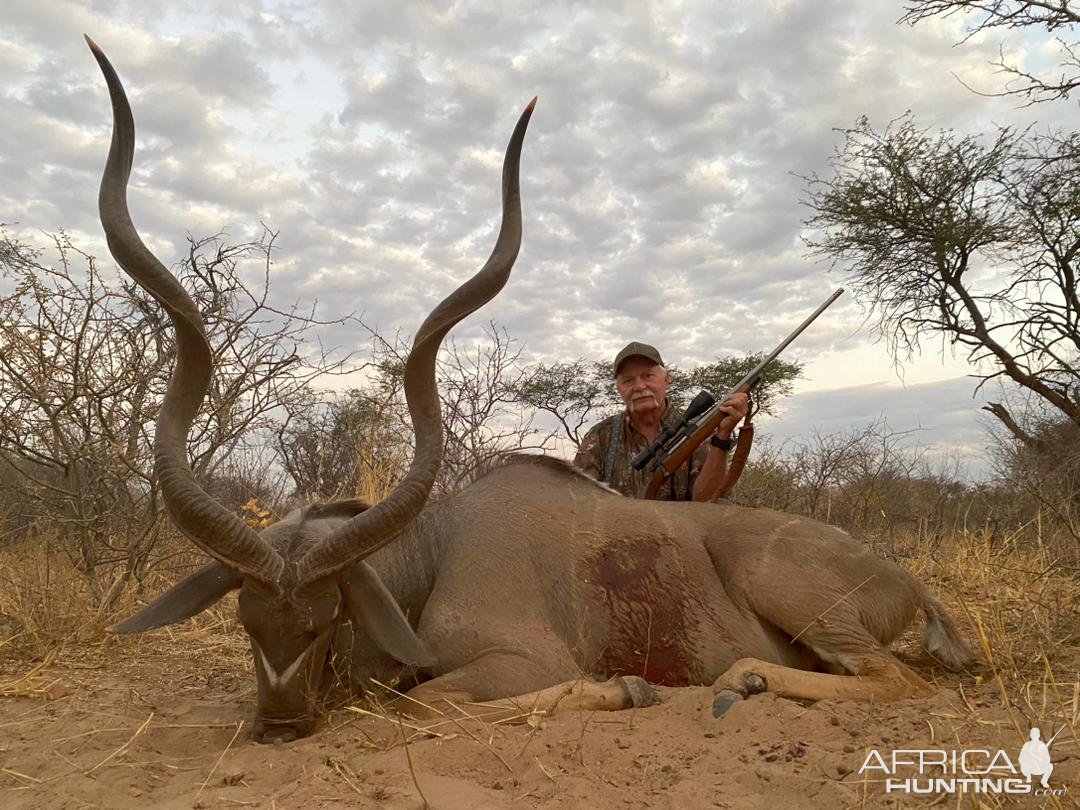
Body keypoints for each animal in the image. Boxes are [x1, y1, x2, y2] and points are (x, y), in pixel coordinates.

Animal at [88, 39, 976, 747]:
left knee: (899, 682)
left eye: (326, 616)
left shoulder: (518, 660)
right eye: (245, 620)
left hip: (793, 590)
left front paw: (629, 687)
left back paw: (744, 679)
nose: (278, 726)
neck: (432, 555)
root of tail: (904, 581)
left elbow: (420, 706)